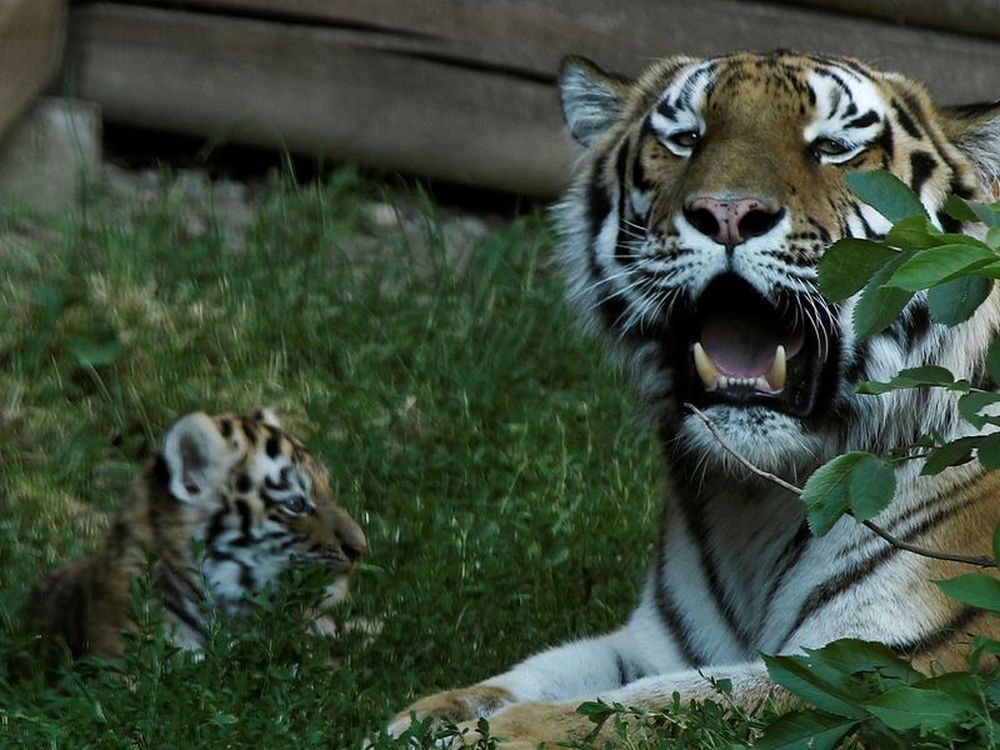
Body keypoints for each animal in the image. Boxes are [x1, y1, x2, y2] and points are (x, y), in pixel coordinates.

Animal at [386, 50, 1000, 748]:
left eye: (835, 148)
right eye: (685, 140)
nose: (727, 213)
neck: (754, 503)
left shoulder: (874, 672)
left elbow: (642, 710)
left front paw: (482, 735)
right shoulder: (663, 642)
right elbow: (558, 669)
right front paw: (431, 714)